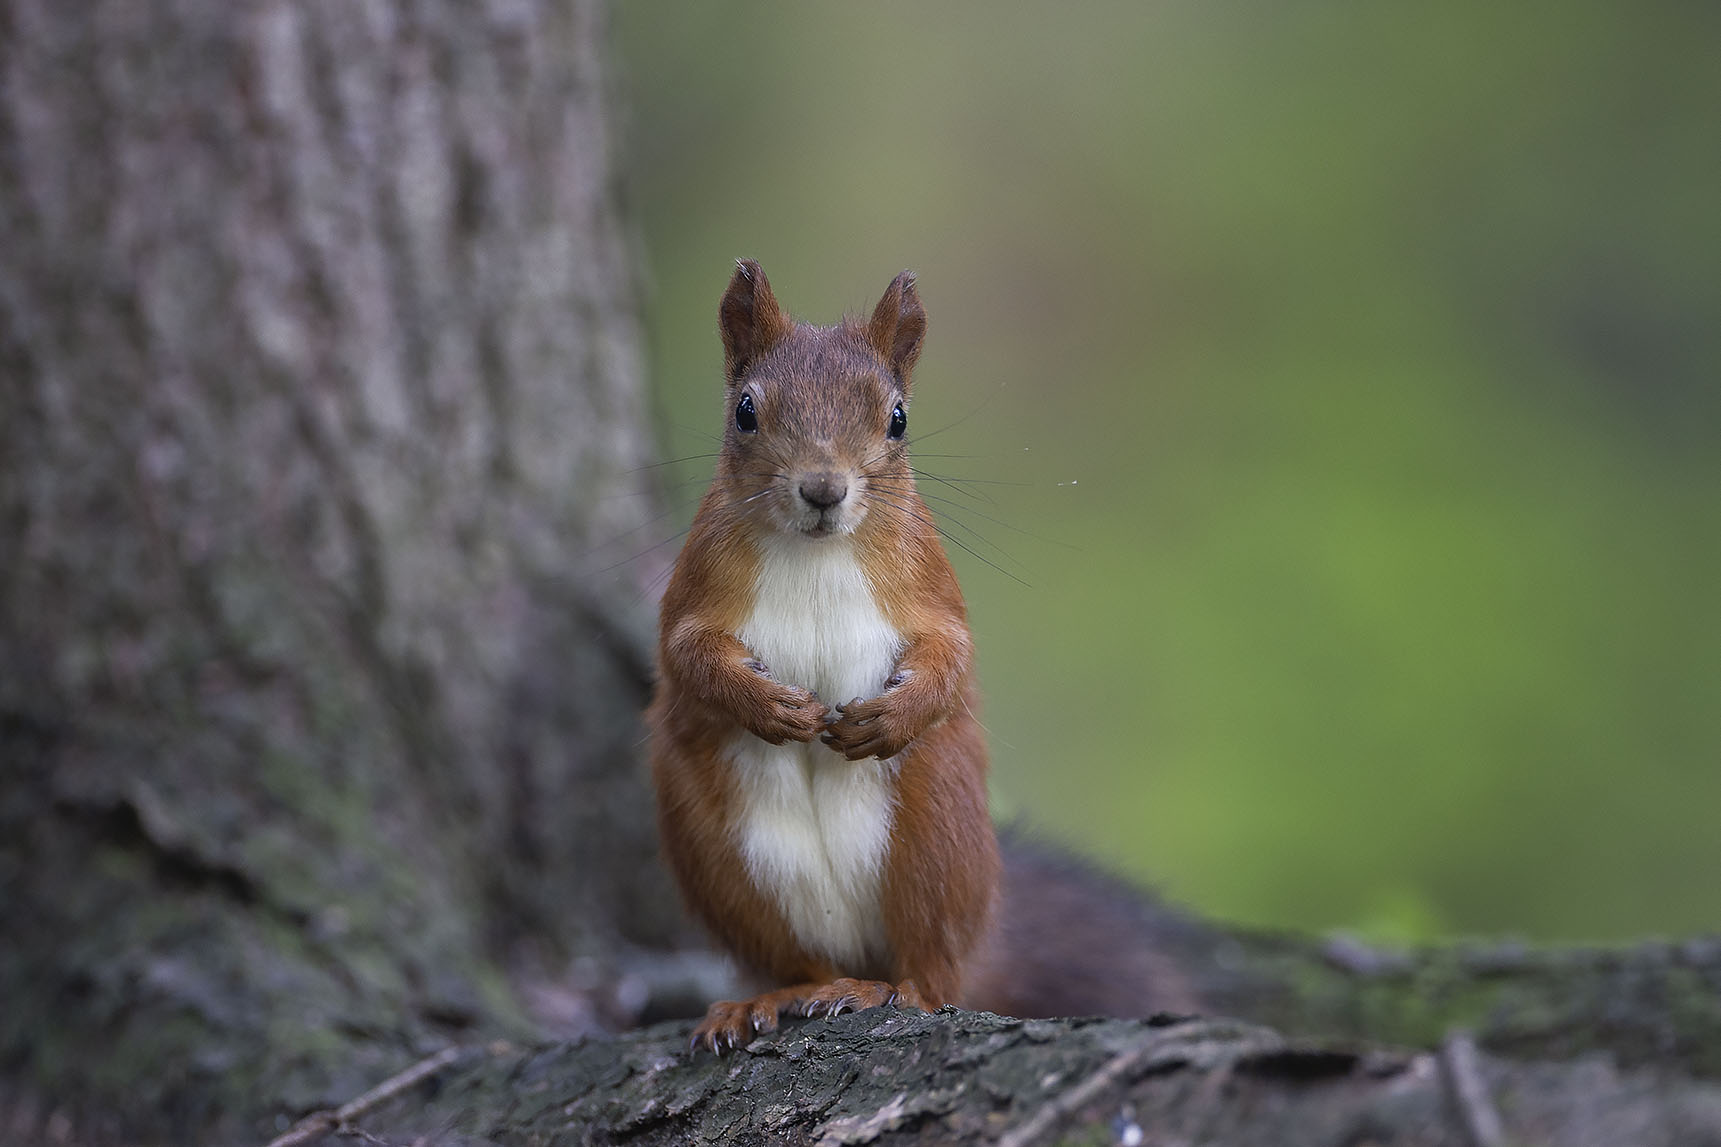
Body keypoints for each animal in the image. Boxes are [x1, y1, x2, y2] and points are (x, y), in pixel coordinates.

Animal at [643, 258, 998, 1047]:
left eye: (898, 417)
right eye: (745, 411)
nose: (823, 489)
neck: (814, 553)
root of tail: (856, 956)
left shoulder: (930, 585)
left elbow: (953, 652)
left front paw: (893, 716)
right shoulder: (691, 593)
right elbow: (686, 656)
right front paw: (771, 706)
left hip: (936, 835)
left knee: (936, 972)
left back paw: (890, 990)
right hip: (723, 860)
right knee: (796, 961)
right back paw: (773, 997)